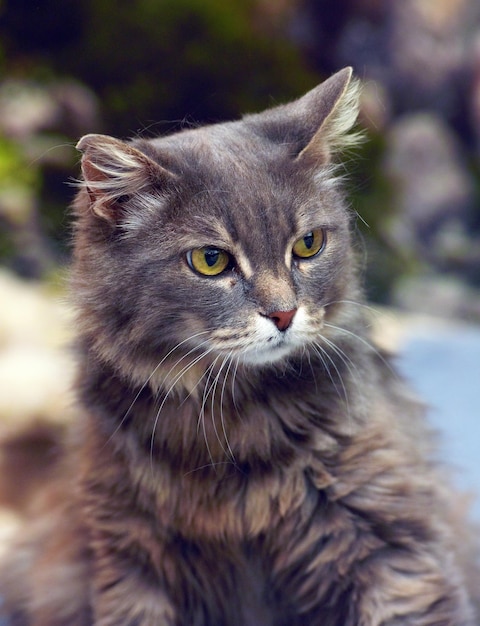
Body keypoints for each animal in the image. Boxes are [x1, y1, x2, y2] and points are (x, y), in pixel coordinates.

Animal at [0, 67, 480, 624]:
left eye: (308, 245)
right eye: (210, 261)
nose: (284, 313)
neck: (233, 418)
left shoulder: (391, 546)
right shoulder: (132, 555)